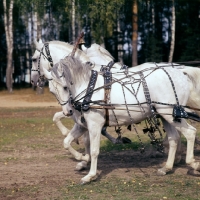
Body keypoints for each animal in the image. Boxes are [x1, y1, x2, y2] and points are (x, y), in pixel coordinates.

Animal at [49, 55, 198, 183]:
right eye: (52, 91)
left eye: (65, 87)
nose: (68, 111)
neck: (89, 88)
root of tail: (181, 72)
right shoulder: (82, 125)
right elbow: (66, 142)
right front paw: (82, 158)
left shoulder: (94, 125)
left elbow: (94, 150)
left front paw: (90, 175)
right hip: (166, 116)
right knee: (174, 138)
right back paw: (166, 168)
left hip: (172, 114)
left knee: (190, 133)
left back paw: (193, 164)